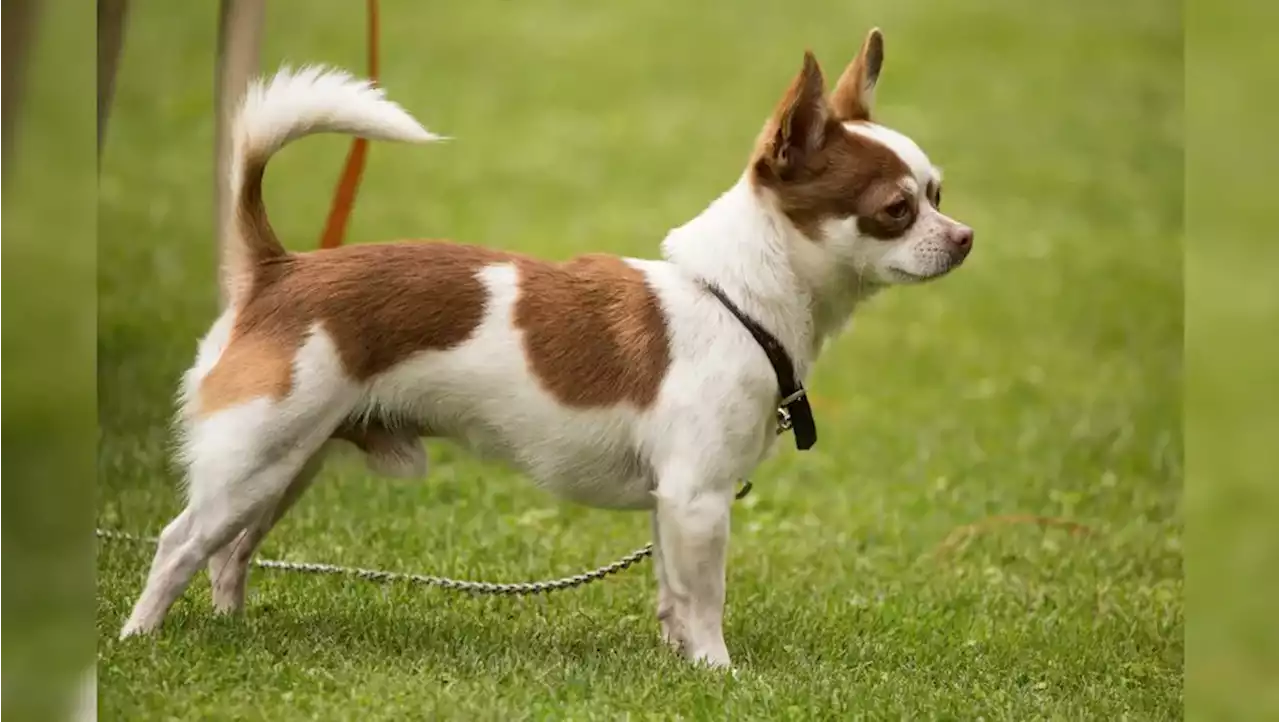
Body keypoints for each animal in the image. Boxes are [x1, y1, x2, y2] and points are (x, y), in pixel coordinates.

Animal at [124, 29, 972, 670]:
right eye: (897, 210)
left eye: (938, 192)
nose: (965, 237)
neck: (735, 301)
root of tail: (279, 268)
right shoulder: (699, 498)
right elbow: (705, 598)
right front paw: (718, 672)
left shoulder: (673, 503)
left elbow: (672, 591)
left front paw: (678, 664)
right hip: (255, 456)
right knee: (179, 543)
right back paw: (140, 640)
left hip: (284, 465)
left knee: (231, 551)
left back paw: (233, 629)